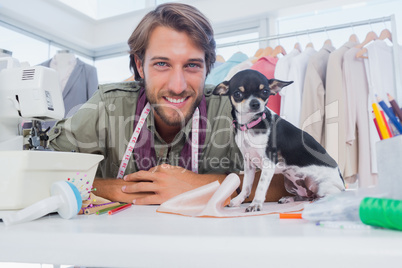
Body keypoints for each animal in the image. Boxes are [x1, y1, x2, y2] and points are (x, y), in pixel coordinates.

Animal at [214, 70, 346, 213]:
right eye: (238, 94)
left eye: (265, 91)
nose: (255, 103)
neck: (251, 125)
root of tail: (343, 186)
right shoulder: (249, 163)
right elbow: (246, 187)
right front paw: (238, 201)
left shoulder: (269, 163)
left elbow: (260, 187)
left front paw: (255, 204)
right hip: (289, 183)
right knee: (307, 196)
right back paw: (289, 199)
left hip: (321, 186)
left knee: (327, 196)